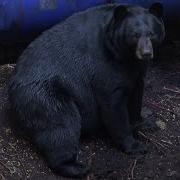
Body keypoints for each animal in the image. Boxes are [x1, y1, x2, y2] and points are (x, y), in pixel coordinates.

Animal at [8, 2, 166, 177]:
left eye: (151, 34)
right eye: (135, 35)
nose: (146, 53)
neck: (125, 56)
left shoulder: (136, 71)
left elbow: (136, 95)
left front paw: (146, 123)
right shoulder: (105, 66)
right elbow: (113, 105)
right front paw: (134, 145)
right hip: (45, 96)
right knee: (61, 127)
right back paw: (76, 167)